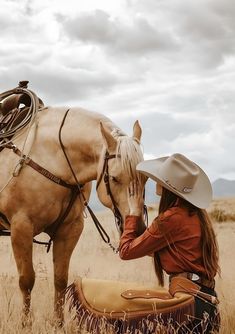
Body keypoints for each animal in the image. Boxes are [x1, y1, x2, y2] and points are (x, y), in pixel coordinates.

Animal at [0, 95, 146, 322]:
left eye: (146, 178)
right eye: (114, 178)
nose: (138, 229)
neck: (54, 159)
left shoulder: (70, 229)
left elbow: (60, 279)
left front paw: (58, 324)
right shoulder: (21, 227)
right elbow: (26, 281)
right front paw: (25, 324)